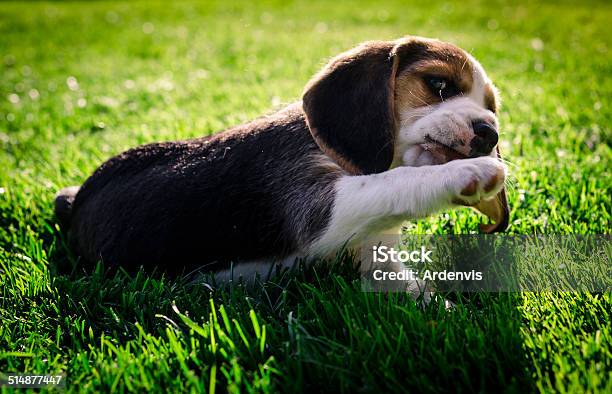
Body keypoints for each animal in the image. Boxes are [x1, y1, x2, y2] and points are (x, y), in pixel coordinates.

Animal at [55, 37, 510, 278]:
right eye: (439, 85)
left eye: (491, 107)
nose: (490, 133)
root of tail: (77, 199)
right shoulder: (322, 206)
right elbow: (393, 183)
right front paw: (471, 171)